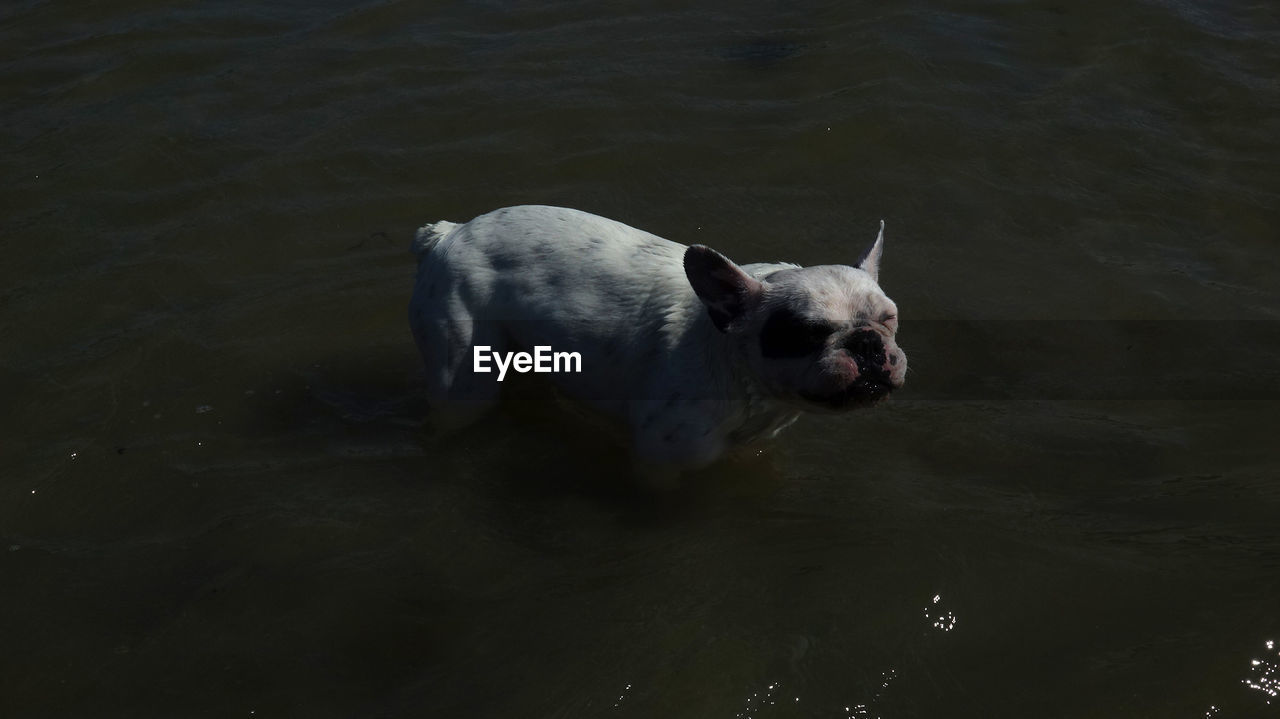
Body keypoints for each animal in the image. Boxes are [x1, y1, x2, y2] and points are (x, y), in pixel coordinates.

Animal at [407, 204, 901, 468]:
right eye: (809, 333)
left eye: (889, 319)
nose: (867, 341)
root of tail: (449, 234)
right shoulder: (661, 462)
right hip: (463, 378)